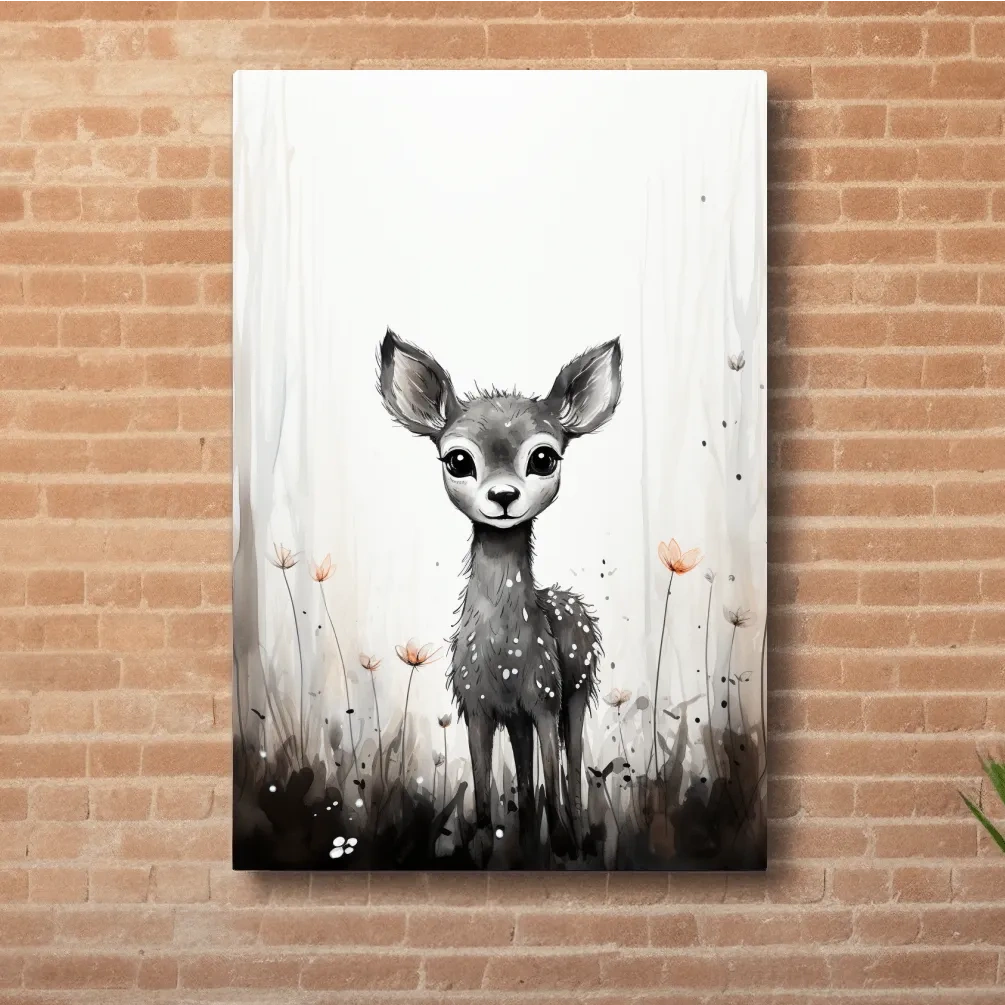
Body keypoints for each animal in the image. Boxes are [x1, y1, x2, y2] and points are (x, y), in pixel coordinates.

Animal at [378, 328, 622, 865]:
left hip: (576, 689)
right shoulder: (477, 706)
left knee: (571, 772)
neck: (505, 654)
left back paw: (573, 839)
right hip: (519, 717)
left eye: (544, 457)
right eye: (458, 459)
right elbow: (487, 793)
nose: (504, 496)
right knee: (527, 784)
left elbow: (554, 779)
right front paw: (485, 848)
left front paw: (563, 846)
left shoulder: (546, 697)